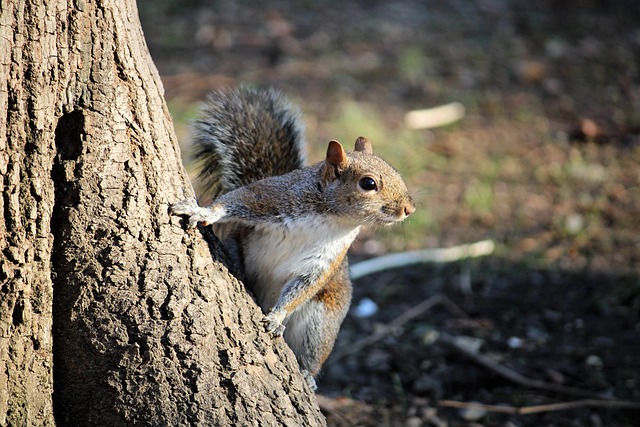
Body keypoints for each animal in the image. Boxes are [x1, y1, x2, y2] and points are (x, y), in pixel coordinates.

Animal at [170, 87, 416, 392]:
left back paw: (308, 376)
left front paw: (276, 317)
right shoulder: (270, 197)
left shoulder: (325, 260)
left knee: (313, 352)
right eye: (368, 184)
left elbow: (303, 287)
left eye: (397, 172)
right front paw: (203, 211)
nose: (409, 209)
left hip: (321, 325)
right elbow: (236, 199)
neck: (332, 218)